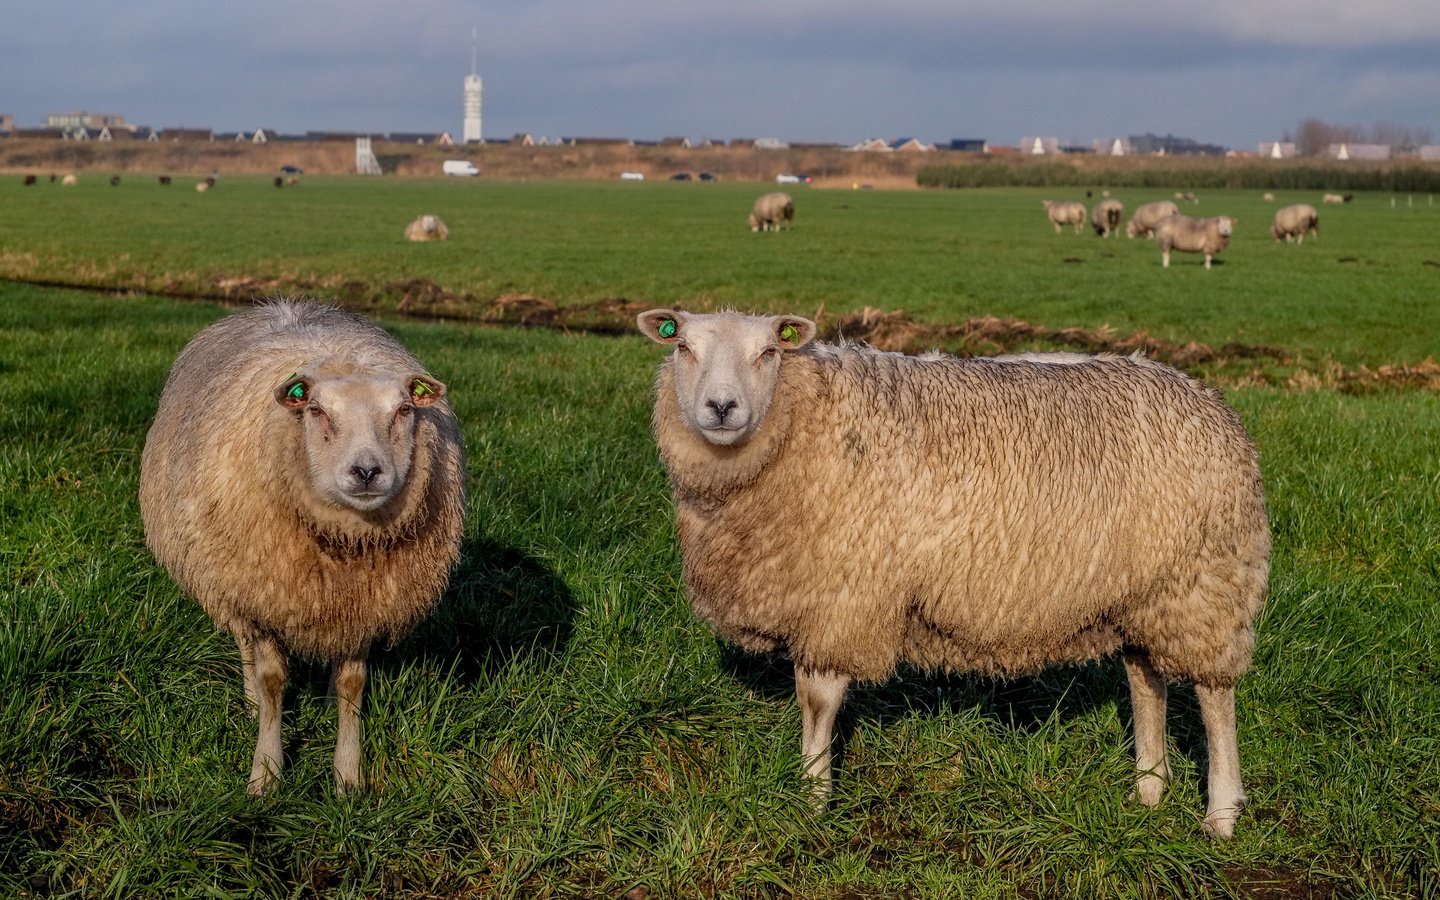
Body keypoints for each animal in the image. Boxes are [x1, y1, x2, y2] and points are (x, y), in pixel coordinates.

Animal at [137, 298, 463, 789]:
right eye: (317, 411)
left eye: (404, 410)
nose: (366, 472)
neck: (344, 542)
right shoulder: (264, 595)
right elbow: (273, 679)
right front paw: (266, 772)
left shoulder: (366, 602)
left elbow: (353, 684)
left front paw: (347, 774)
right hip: (230, 578)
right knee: (244, 644)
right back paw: (251, 700)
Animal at [636, 306, 1267, 835]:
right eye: (683, 347)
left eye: (768, 352)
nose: (722, 408)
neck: (803, 419)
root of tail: (1206, 397)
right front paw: (811, 796)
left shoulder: (842, 598)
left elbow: (816, 703)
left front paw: (810, 802)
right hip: (1144, 591)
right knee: (1145, 679)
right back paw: (1149, 790)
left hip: (1207, 582)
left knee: (1215, 698)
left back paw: (1221, 815)